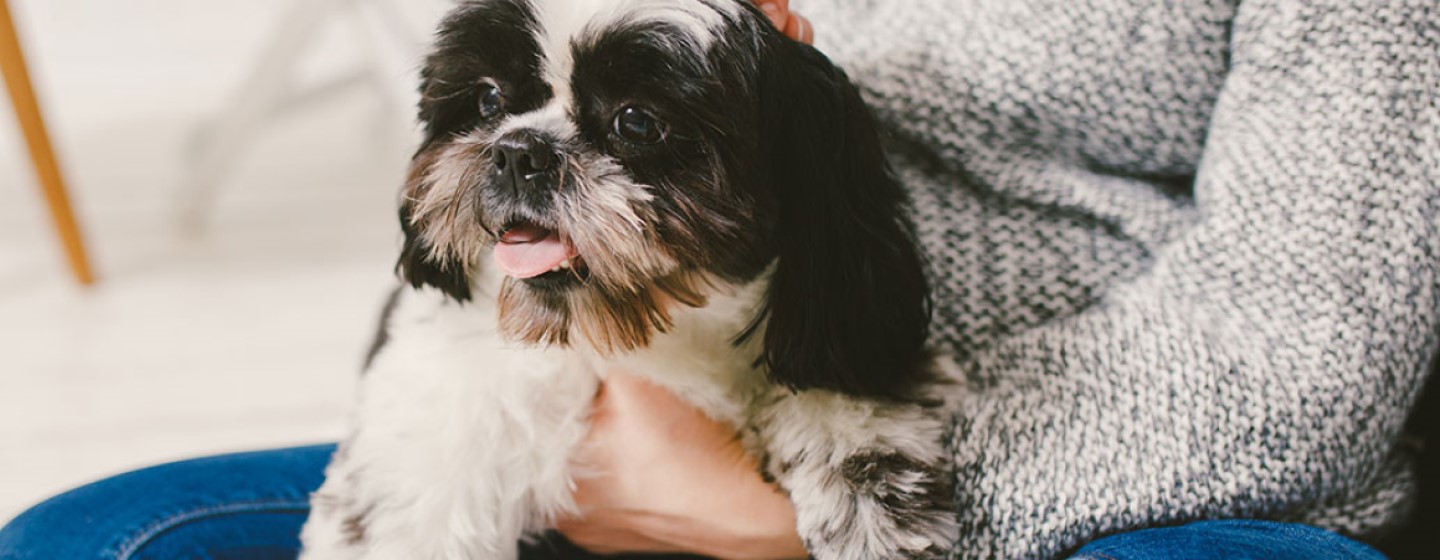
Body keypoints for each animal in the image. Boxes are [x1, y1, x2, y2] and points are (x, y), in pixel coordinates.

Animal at [298, 0, 961, 555]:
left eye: (638, 122)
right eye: (487, 101)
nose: (517, 149)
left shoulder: (840, 319)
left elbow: (845, 399)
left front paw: (867, 501)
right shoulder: (432, 439)